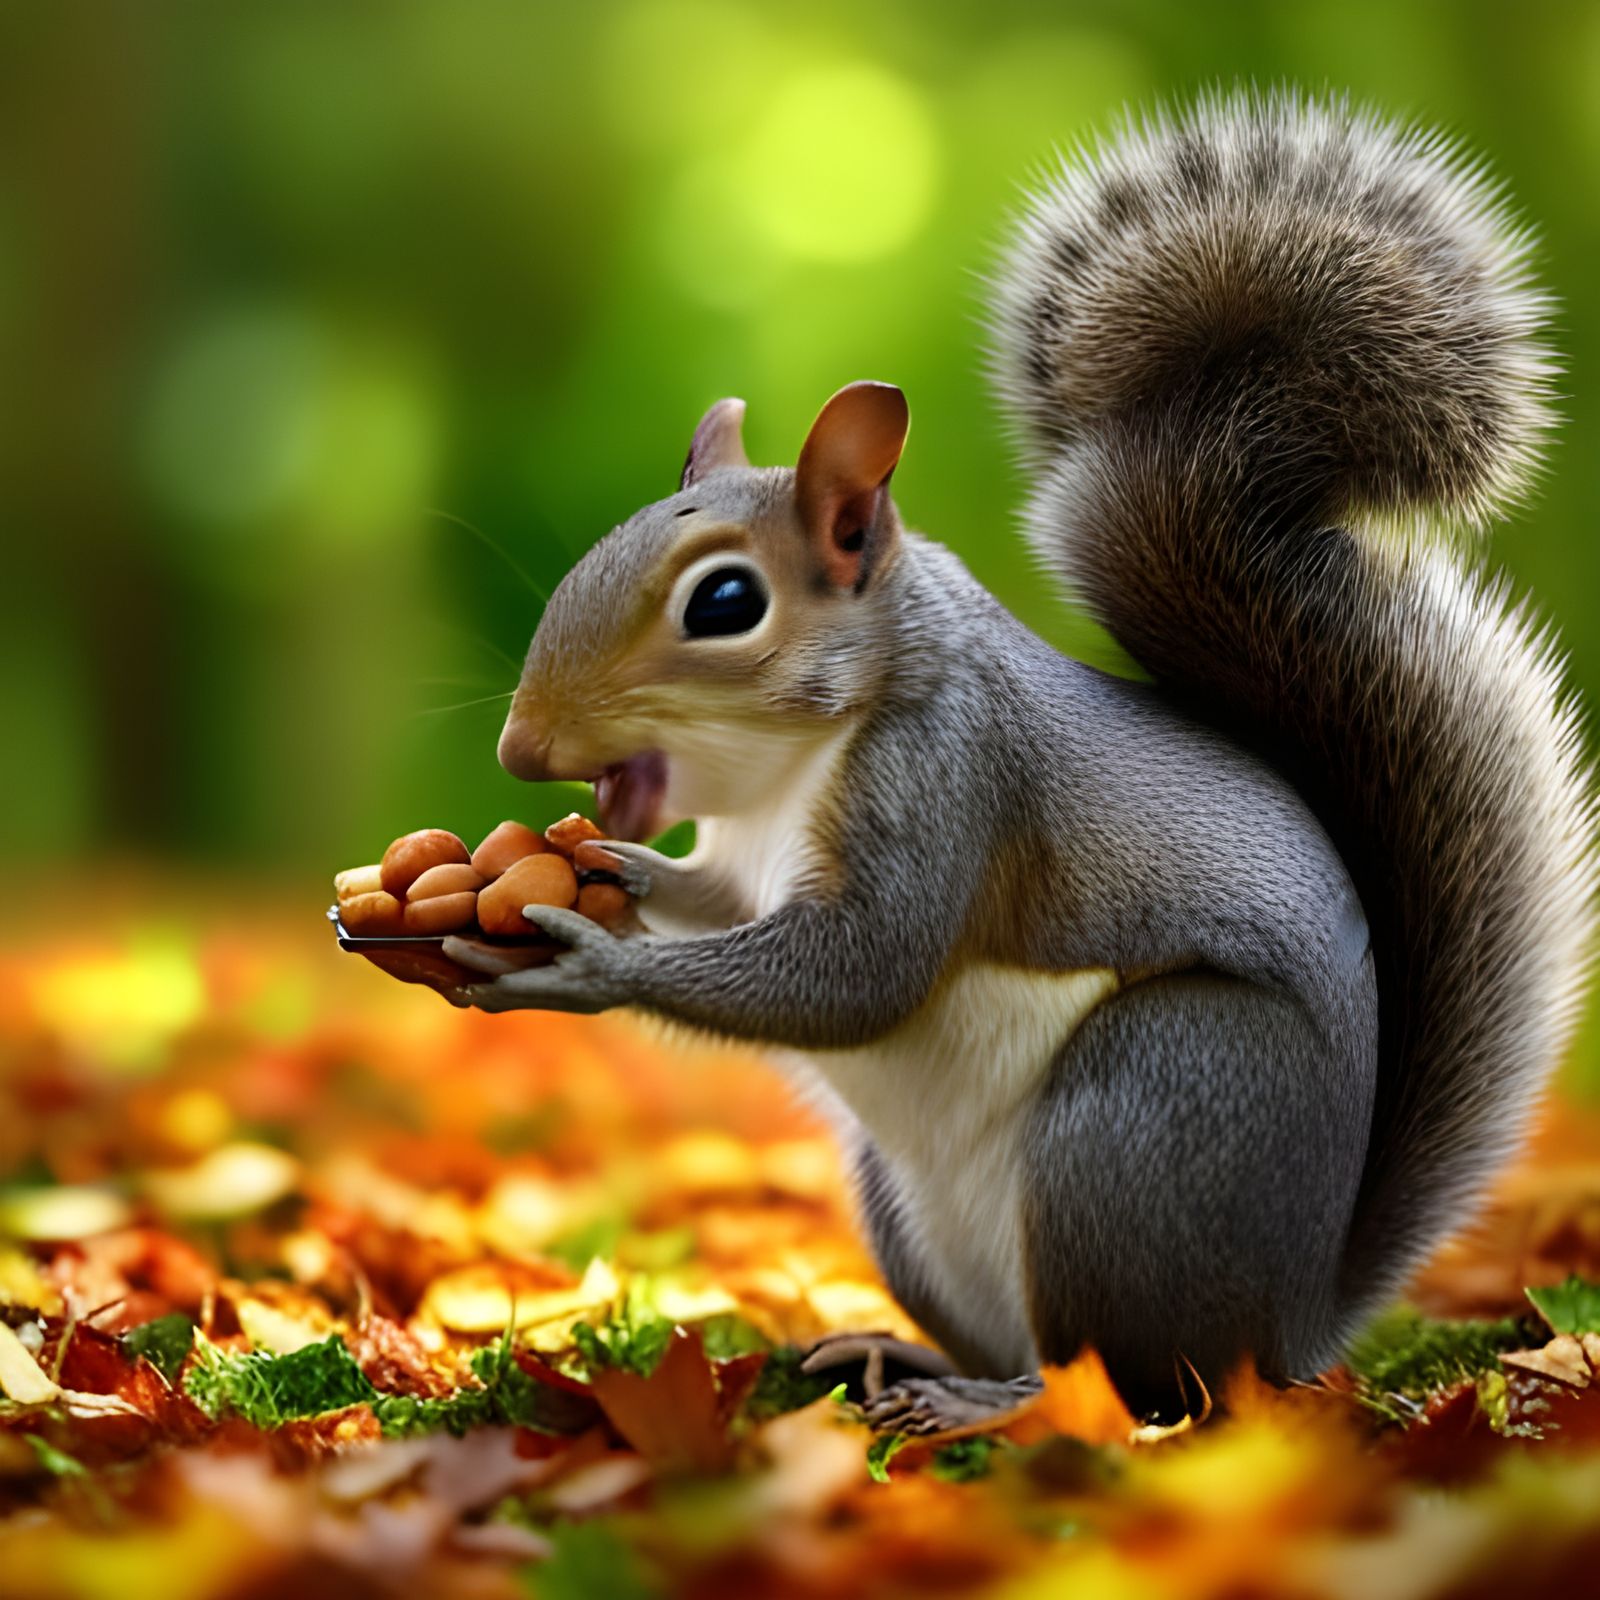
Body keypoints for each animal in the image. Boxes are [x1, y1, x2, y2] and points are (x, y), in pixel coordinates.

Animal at [442, 91, 1595, 1427]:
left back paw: (990, 1405)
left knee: (1130, 1388)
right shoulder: (742, 861)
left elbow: (862, 971)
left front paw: (589, 964)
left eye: (724, 601)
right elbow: (720, 905)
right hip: (908, 1210)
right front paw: (610, 874)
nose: (523, 747)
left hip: (1139, 1127)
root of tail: (1293, 1327)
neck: (790, 766)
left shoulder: (951, 779)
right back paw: (902, 1356)